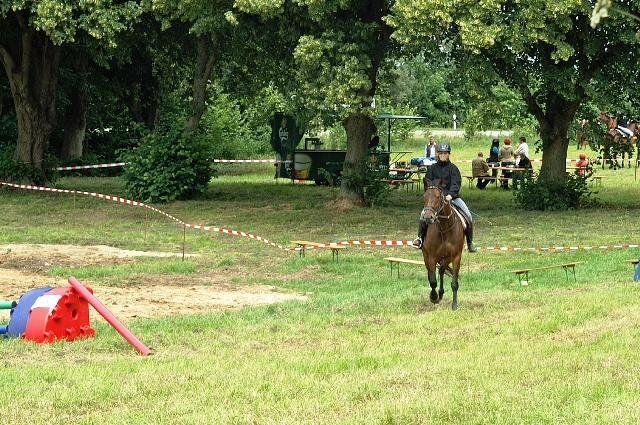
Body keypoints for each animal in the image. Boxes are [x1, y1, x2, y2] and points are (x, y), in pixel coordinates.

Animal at [419, 178, 465, 311]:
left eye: (438, 196)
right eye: (424, 196)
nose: (428, 217)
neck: (444, 229)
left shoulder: (456, 256)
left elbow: (454, 283)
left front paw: (454, 305)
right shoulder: (432, 257)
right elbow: (433, 281)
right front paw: (433, 297)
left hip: (447, 258)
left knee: (441, 270)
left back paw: (441, 293)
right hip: (427, 256)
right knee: (431, 274)